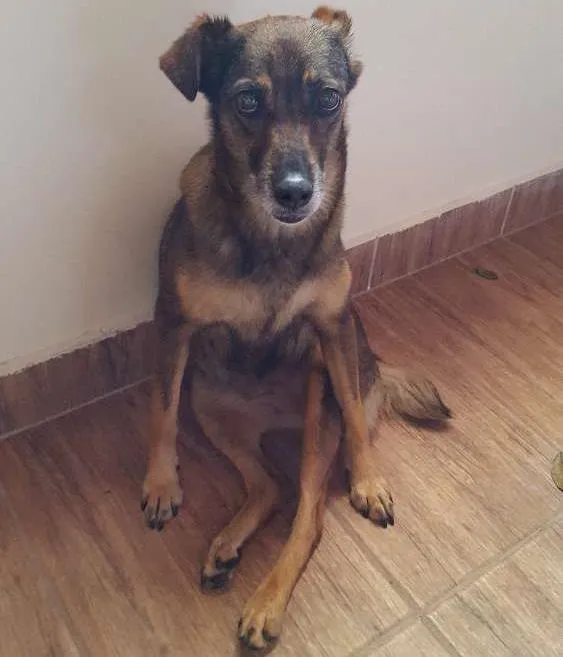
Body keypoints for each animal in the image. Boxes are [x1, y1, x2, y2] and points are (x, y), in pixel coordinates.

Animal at [141, 6, 451, 650]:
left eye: (328, 99)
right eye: (247, 101)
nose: (295, 193)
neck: (270, 242)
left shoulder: (332, 328)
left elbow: (353, 421)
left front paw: (369, 479)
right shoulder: (174, 325)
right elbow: (160, 407)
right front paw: (160, 483)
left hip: (319, 400)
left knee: (308, 515)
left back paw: (266, 606)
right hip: (211, 407)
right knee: (271, 488)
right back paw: (228, 548)